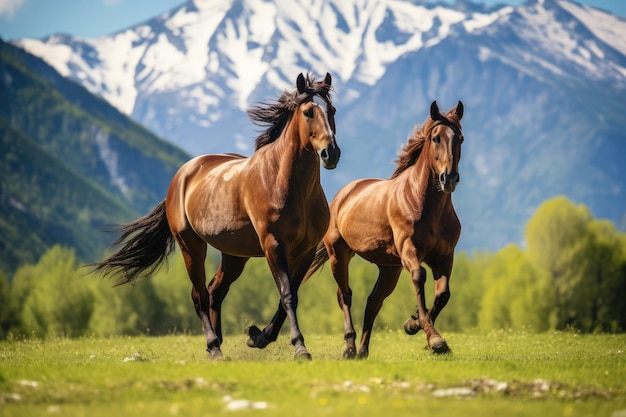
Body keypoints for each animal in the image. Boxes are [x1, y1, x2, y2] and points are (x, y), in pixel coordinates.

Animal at [90, 73, 338, 360]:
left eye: (332, 111)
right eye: (308, 112)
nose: (331, 153)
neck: (285, 181)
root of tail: (181, 176)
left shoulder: (305, 250)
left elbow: (288, 295)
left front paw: (258, 337)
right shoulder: (273, 245)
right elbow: (287, 294)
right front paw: (300, 348)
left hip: (235, 254)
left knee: (215, 291)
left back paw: (218, 342)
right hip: (191, 245)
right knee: (199, 294)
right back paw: (213, 346)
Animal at [302, 100, 464, 358]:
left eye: (460, 138)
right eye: (435, 138)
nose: (448, 178)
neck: (426, 205)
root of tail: (341, 196)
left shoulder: (445, 256)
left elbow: (443, 294)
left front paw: (414, 325)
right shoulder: (410, 250)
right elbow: (419, 277)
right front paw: (434, 338)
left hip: (389, 268)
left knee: (373, 302)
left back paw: (362, 350)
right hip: (339, 254)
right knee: (345, 295)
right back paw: (349, 348)